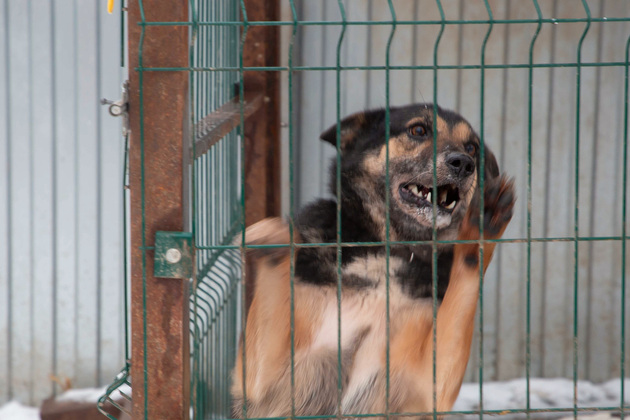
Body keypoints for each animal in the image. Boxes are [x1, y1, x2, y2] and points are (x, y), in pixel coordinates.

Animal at [231, 104, 515, 418]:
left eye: (472, 147)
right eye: (418, 130)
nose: (463, 163)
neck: (387, 251)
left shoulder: (426, 386)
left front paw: (480, 227)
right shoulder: (262, 379)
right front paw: (274, 240)